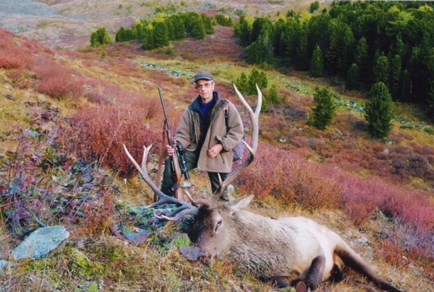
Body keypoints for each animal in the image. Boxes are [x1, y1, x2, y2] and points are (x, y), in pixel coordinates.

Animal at [124, 84, 406, 292]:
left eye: (218, 222)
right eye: (192, 227)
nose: (195, 253)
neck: (276, 256)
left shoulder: (316, 249)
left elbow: (312, 280)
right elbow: (284, 281)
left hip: (342, 243)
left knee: (375, 276)